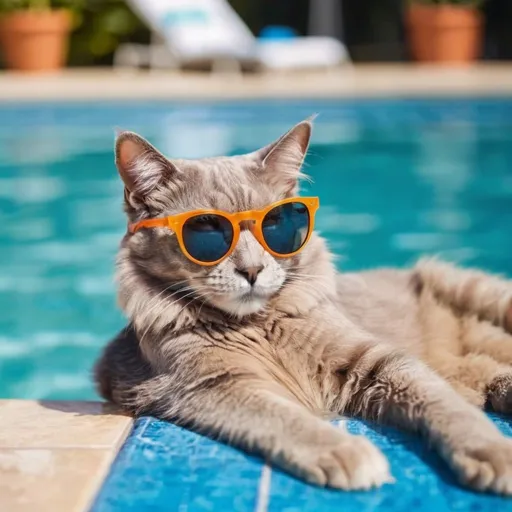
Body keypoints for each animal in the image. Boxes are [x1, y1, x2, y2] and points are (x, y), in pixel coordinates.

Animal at [94, 120, 512, 496]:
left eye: (276, 222)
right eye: (208, 230)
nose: (252, 270)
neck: (258, 324)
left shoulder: (379, 360)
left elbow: (446, 405)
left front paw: (492, 451)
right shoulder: (212, 386)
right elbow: (286, 418)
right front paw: (344, 452)